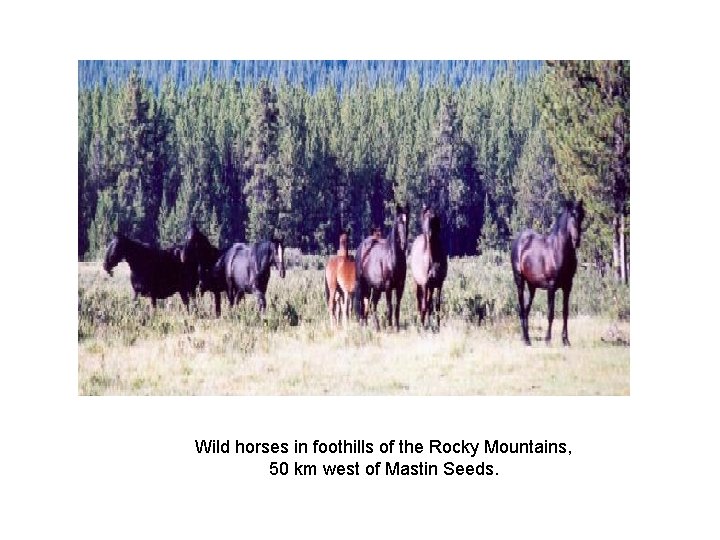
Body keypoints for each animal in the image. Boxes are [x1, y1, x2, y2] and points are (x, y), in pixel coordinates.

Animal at [512, 198, 584, 346]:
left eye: (582, 217)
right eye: (571, 216)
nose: (576, 241)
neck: (558, 251)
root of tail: (519, 241)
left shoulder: (568, 286)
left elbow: (565, 312)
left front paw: (566, 340)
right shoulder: (551, 287)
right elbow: (551, 313)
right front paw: (547, 340)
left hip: (532, 286)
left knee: (526, 310)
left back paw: (525, 337)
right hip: (520, 281)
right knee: (521, 308)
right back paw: (526, 340)